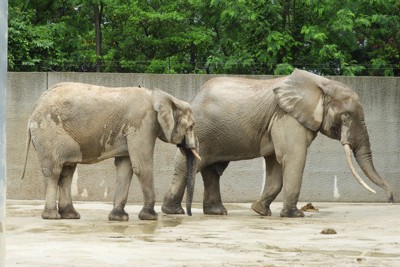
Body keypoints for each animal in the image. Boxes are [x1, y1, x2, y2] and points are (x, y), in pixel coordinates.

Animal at [20, 83, 200, 222]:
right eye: (191, 126)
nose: (188, 214)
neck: (160, 95)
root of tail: (33, 111)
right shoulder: (142, 124)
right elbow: (142, 166)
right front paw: (150, 217)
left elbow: (125, 168)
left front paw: (119, 218)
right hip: (48, 133)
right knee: (54, 171)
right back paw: (52, 217)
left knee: (67, 171)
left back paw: (70, 216)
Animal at [162, 68, 394, 218]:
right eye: (346, 116)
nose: (391, 199)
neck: (322, 83)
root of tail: (194, 97)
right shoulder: (288, 117)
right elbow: (293, 157)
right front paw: (295, 215)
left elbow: (276, 164)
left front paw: (260, 211)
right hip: (201, 131)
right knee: (188, 166)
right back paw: (173, 212)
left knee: (211, 171)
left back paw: (215, 213)